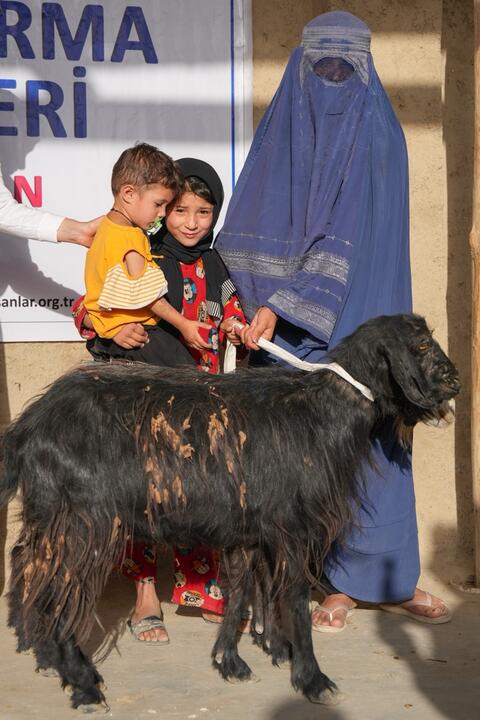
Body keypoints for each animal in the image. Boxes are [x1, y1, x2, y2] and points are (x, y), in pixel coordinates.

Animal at [0, 314, 458, 708]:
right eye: (420, 345)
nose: (454, 380)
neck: (321, 412)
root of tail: (28, 427)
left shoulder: (252, 529)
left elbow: (242, 593)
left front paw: (237, 659)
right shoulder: (292, 528)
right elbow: (292, 598)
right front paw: (311, 678)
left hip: (49, 513)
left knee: (27, 563)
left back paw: (41, 652)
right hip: (83, 521)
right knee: (58, 588)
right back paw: (82, 683)